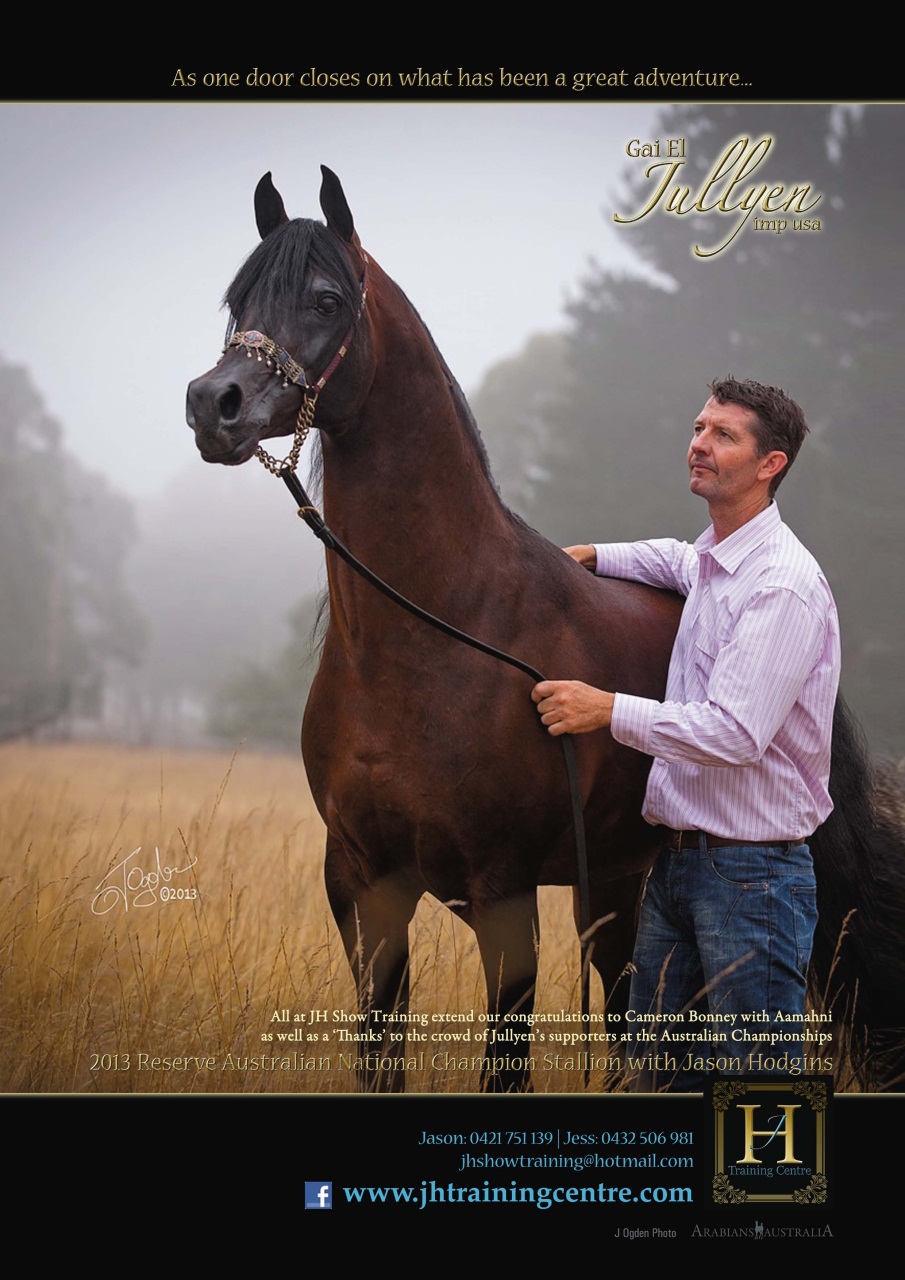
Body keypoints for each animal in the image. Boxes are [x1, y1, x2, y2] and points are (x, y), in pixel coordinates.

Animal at [187, 167, 905, 1092]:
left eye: (324, 298)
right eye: (237, 300)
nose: (214, 403)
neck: (440, 631)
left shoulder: (503, 893)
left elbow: (506, 1062)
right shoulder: (359, 884)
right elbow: (380, 1053)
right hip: (621, 885)